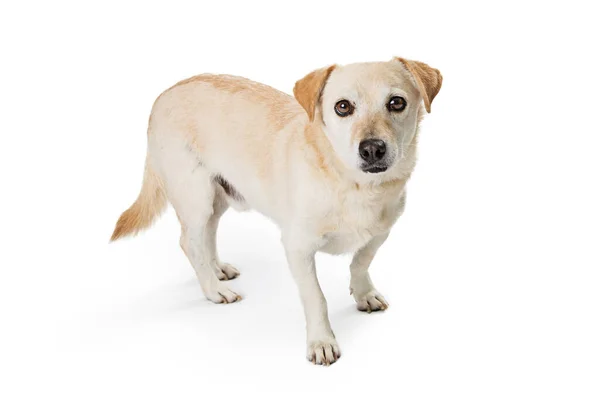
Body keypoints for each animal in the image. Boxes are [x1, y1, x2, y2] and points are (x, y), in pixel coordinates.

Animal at [111, 56, 440, 366]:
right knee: (189, 241)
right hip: (197, 196)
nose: (372, 148)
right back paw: (213, 289)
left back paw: (217, 269)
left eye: (396, 102)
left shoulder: (380, 233)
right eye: (343, 107)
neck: (355, 186)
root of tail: (166, 91)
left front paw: (364, 294)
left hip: (220, 195)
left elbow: (360, 262)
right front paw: (322, 342)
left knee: (208, 233)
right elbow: (316, 297)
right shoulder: (298, 248)